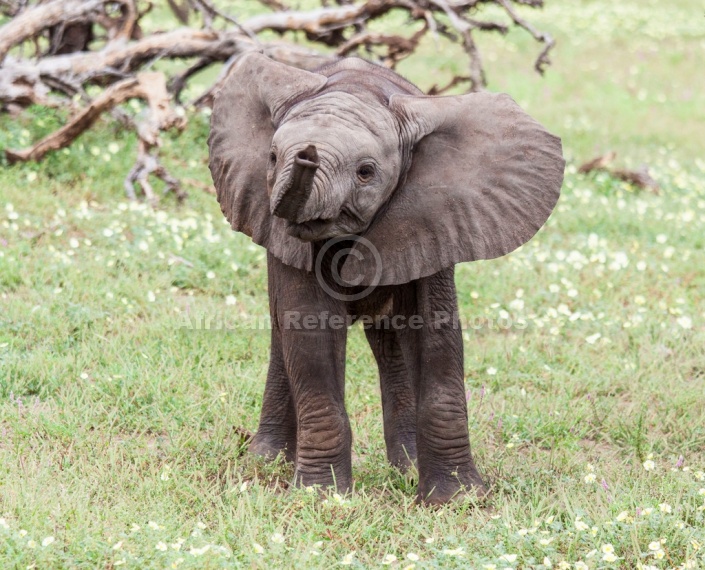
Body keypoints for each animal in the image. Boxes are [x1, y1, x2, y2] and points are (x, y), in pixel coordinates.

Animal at [206, 50, 564, 502]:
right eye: (271, 158)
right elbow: (309, 333)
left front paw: (457, 499)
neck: (359, 89)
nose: (305, 154)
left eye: (365, 171)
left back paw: (406, 468)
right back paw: (268, 463)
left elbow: (436, 335)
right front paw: (322, 497)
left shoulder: (439, 216)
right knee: (283, 340)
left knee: (391, 341)